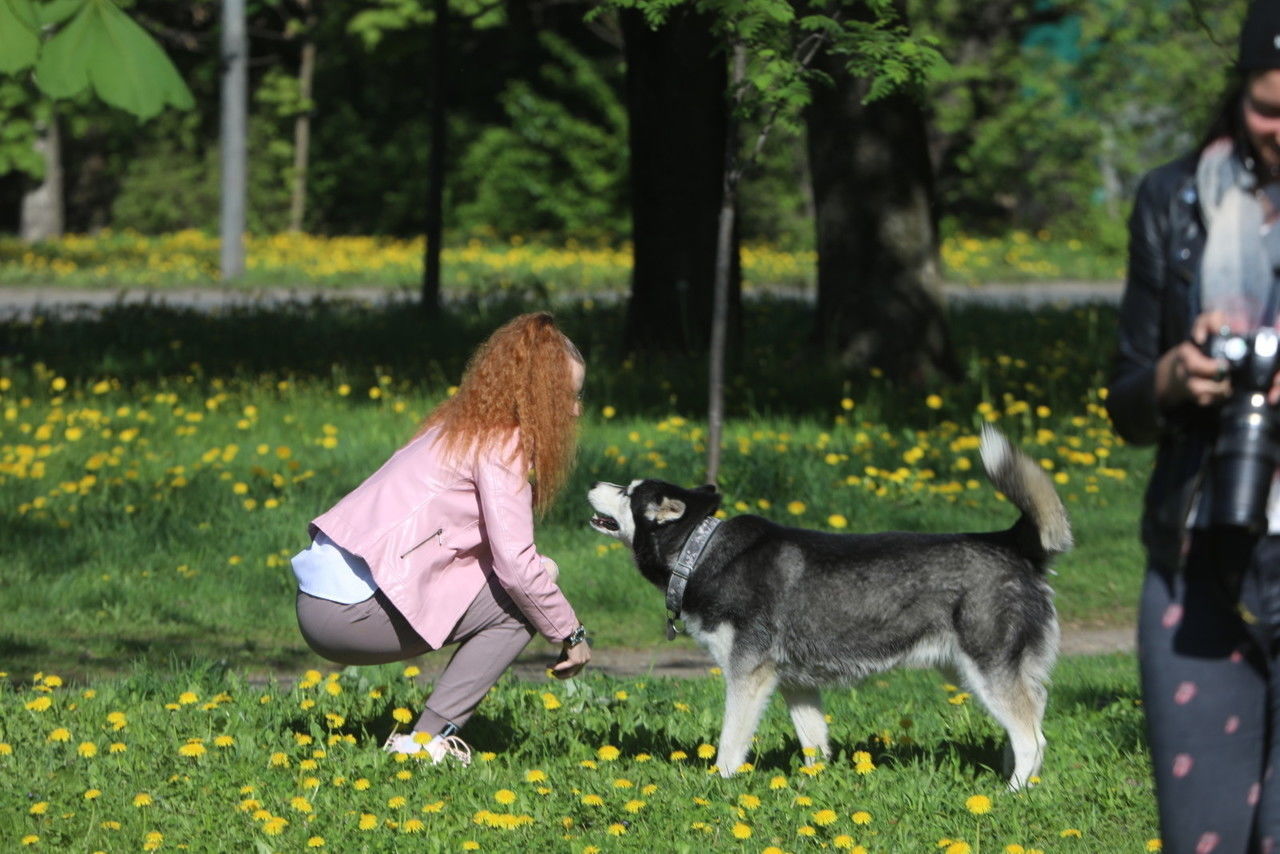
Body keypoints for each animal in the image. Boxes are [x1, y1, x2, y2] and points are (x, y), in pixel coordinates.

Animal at [586, 425, 1070, 793]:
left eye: (627, 491)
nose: (591, 483)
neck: (700, 553)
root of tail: (1009, 542)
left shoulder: (748, 676)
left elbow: (730, 742)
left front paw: (718, 783)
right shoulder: (795, 683)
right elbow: (814, 743)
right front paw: (811, 788)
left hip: (985, 669)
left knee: (1033, 736)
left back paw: (1014, 791)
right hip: (971, 671)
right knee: (1034, 711)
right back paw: (1019, 776)